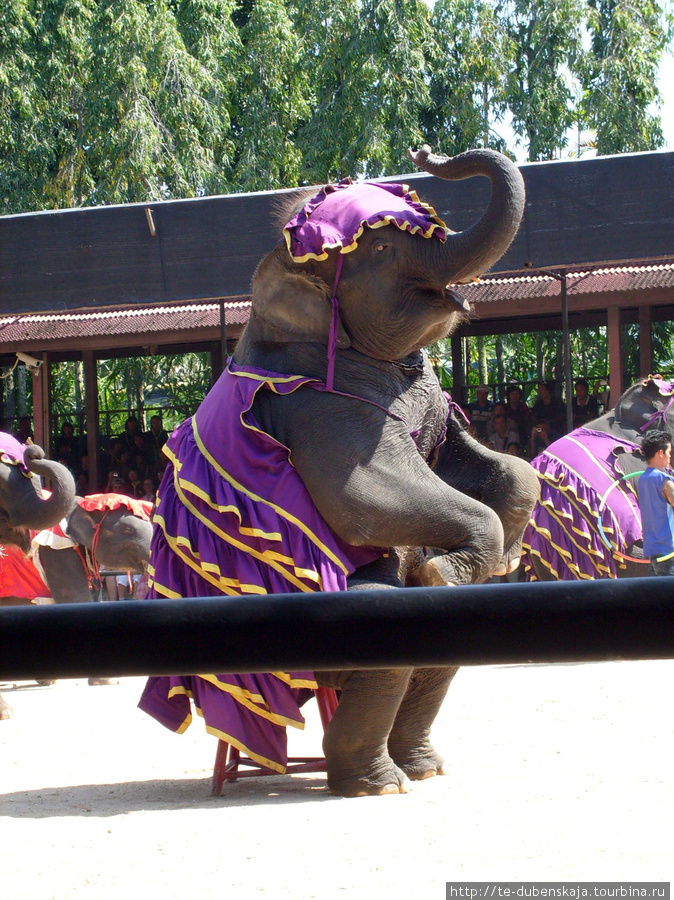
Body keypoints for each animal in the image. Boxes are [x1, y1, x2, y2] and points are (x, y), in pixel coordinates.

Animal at [138, 144, 540, 800]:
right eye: (382, 250)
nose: (425, 151)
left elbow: (484, 464)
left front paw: (501, 552)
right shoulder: (317, 405)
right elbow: (363, 495)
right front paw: (447, 565)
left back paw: (421, 768)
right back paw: (377, 783)